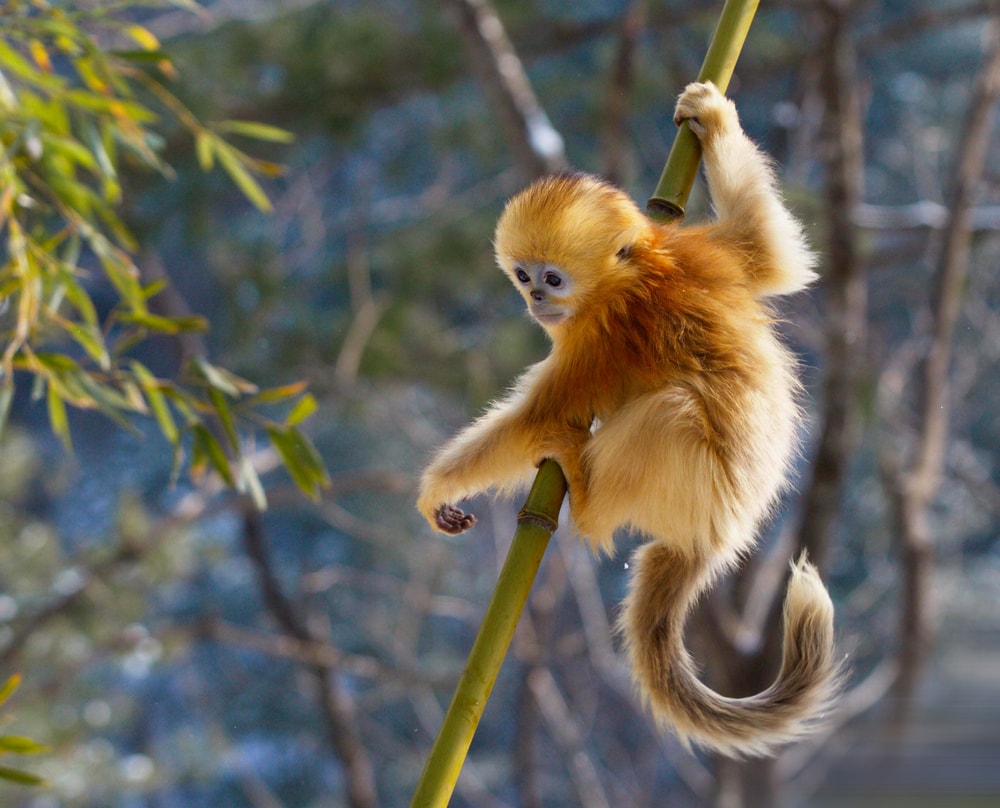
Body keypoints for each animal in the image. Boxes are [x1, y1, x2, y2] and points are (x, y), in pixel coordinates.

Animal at [417, 81, 841, 757]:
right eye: (524, 274)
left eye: (553, 278)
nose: (535, 297)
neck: (637, 271)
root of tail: (717, 538)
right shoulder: (696, 248)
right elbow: (770, 253)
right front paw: (712, 116)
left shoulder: (595, 337)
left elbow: (535, 417)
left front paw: (436, 490)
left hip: (695, 479)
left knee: (666, 412)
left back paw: (583, 493)